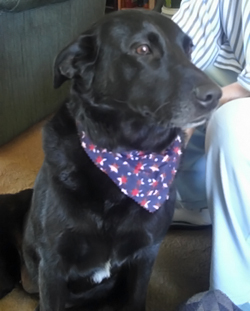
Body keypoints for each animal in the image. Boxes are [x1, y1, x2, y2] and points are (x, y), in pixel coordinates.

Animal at [0, 9, 220, 311]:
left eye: (189, 49)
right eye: (142, 49)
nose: (216, 95)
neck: (125, 161)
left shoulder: (144, 258)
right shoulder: (53, 267)